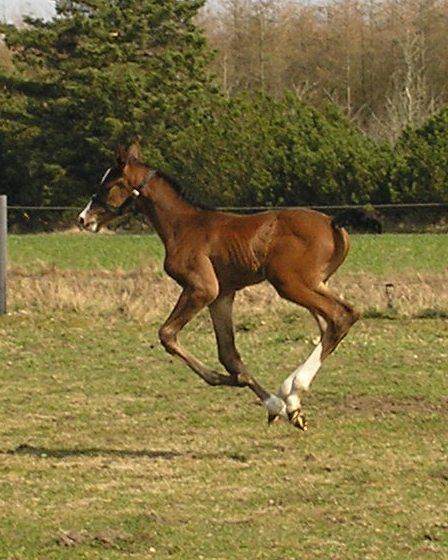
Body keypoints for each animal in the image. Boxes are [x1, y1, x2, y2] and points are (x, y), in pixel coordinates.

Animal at [79, 144, 358, 428]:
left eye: (109, 185)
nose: (83, 219)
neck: (183, 226)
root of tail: (333, 223)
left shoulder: (202, 289)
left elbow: (167, 334)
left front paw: (257, 393)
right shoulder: (222, 295)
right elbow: (228, 353)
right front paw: (272, 403)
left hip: (289, 283)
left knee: (342, 316)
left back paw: (293, 389)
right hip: (314, 283)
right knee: (329, 324)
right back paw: (292, 401)